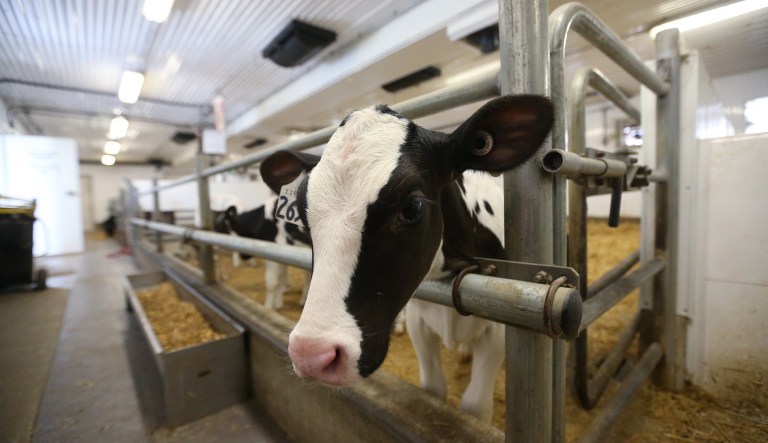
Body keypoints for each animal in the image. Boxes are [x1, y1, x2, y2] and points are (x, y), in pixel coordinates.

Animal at [259, 95, 553, 423]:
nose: (311, 355)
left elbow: (475, 406)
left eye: (412, 207)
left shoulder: (500, 325)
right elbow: (432, 389)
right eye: (301, 208)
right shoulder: (418, 320)